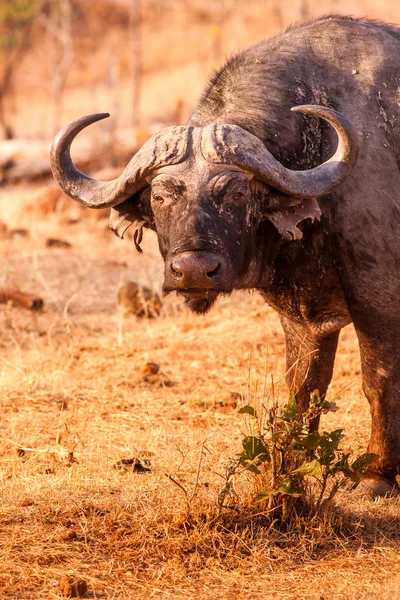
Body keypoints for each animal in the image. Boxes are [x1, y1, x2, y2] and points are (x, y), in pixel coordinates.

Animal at [51, 17, 400, 496]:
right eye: (160, 196)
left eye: (236, 193)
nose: (194, 270)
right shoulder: (301, 318)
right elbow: (304, 387)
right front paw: (293, 464)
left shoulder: (378, 298)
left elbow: (377, 378)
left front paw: (376, 474)